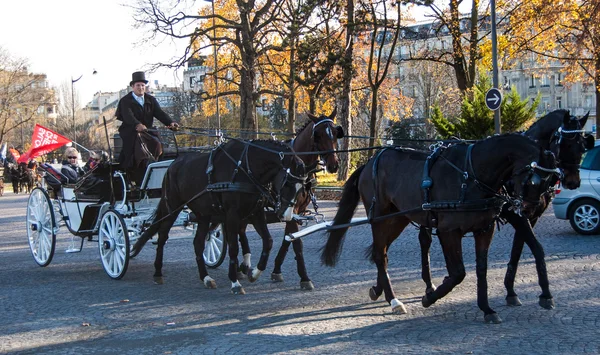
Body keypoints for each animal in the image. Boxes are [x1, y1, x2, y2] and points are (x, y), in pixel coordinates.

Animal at [133, 139, 308, 294]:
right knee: (163, 236)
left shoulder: (256, 213)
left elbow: (268, 241)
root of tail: (173, 164)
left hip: (203, 215)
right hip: (172, 207)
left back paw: (206, 278)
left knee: (198, 243)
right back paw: (157, 272)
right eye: (287, 183)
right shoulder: (232, 215)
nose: (286, 215)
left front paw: (254, 272)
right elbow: (234, 247)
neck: (244, 168)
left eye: (302, 188)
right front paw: (235, 282)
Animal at [322, 135, 560, 324]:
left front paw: (486, 308)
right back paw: (393, 299)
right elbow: (458, 273)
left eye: (550, 179)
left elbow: (482, 269)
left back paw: (379, 290)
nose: (531, 208)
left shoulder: (485, 229)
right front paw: (430, 297)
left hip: (399, 218)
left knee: (380, 252)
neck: (470, 175)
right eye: (534, 179)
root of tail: (369, 162)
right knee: (380, 255)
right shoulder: (449, 231)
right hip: (380, 218)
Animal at [418, 110, 596, 312]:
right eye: (565, 144)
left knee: (424, 239)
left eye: (582, 145)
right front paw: (545, 294)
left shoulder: (530, 216)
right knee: (425, 242)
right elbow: (536, 248)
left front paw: (511, 290)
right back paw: (428, 285)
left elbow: (518, 250)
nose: (573, 182)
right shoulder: (517, 215)